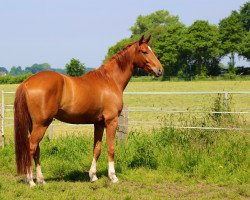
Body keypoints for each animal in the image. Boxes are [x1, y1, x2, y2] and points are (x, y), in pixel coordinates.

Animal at [13, 35, 163, 187]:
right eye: (144, 51)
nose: (160, 70)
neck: (110, 80)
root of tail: (26, 82)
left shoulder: (99, 123)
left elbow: (97, 149)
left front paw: (93, 176)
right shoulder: (111, 121)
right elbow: (111, 148)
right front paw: (113, 177)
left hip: (35, 125)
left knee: (36, 149)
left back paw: (41, 179)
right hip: (41, 124)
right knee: (31, 147)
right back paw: (31, 181)